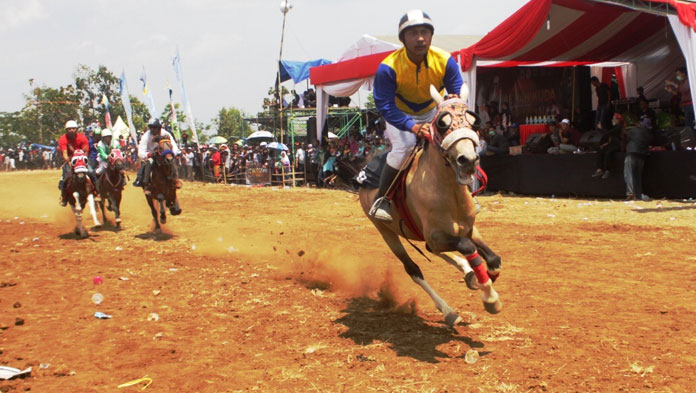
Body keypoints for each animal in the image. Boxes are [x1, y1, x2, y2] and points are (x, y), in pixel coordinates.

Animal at [362, 83, 502, 324]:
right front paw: (489, 296)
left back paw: (467, 274)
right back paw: (449, 311)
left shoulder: (467, 228)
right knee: (413, 269)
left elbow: (492, 257)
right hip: (386, 232)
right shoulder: (437, 235)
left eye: (474, 121)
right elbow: (468, 247)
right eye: (442, 123)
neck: (450, 193)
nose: (468, 160)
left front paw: (484, 277)